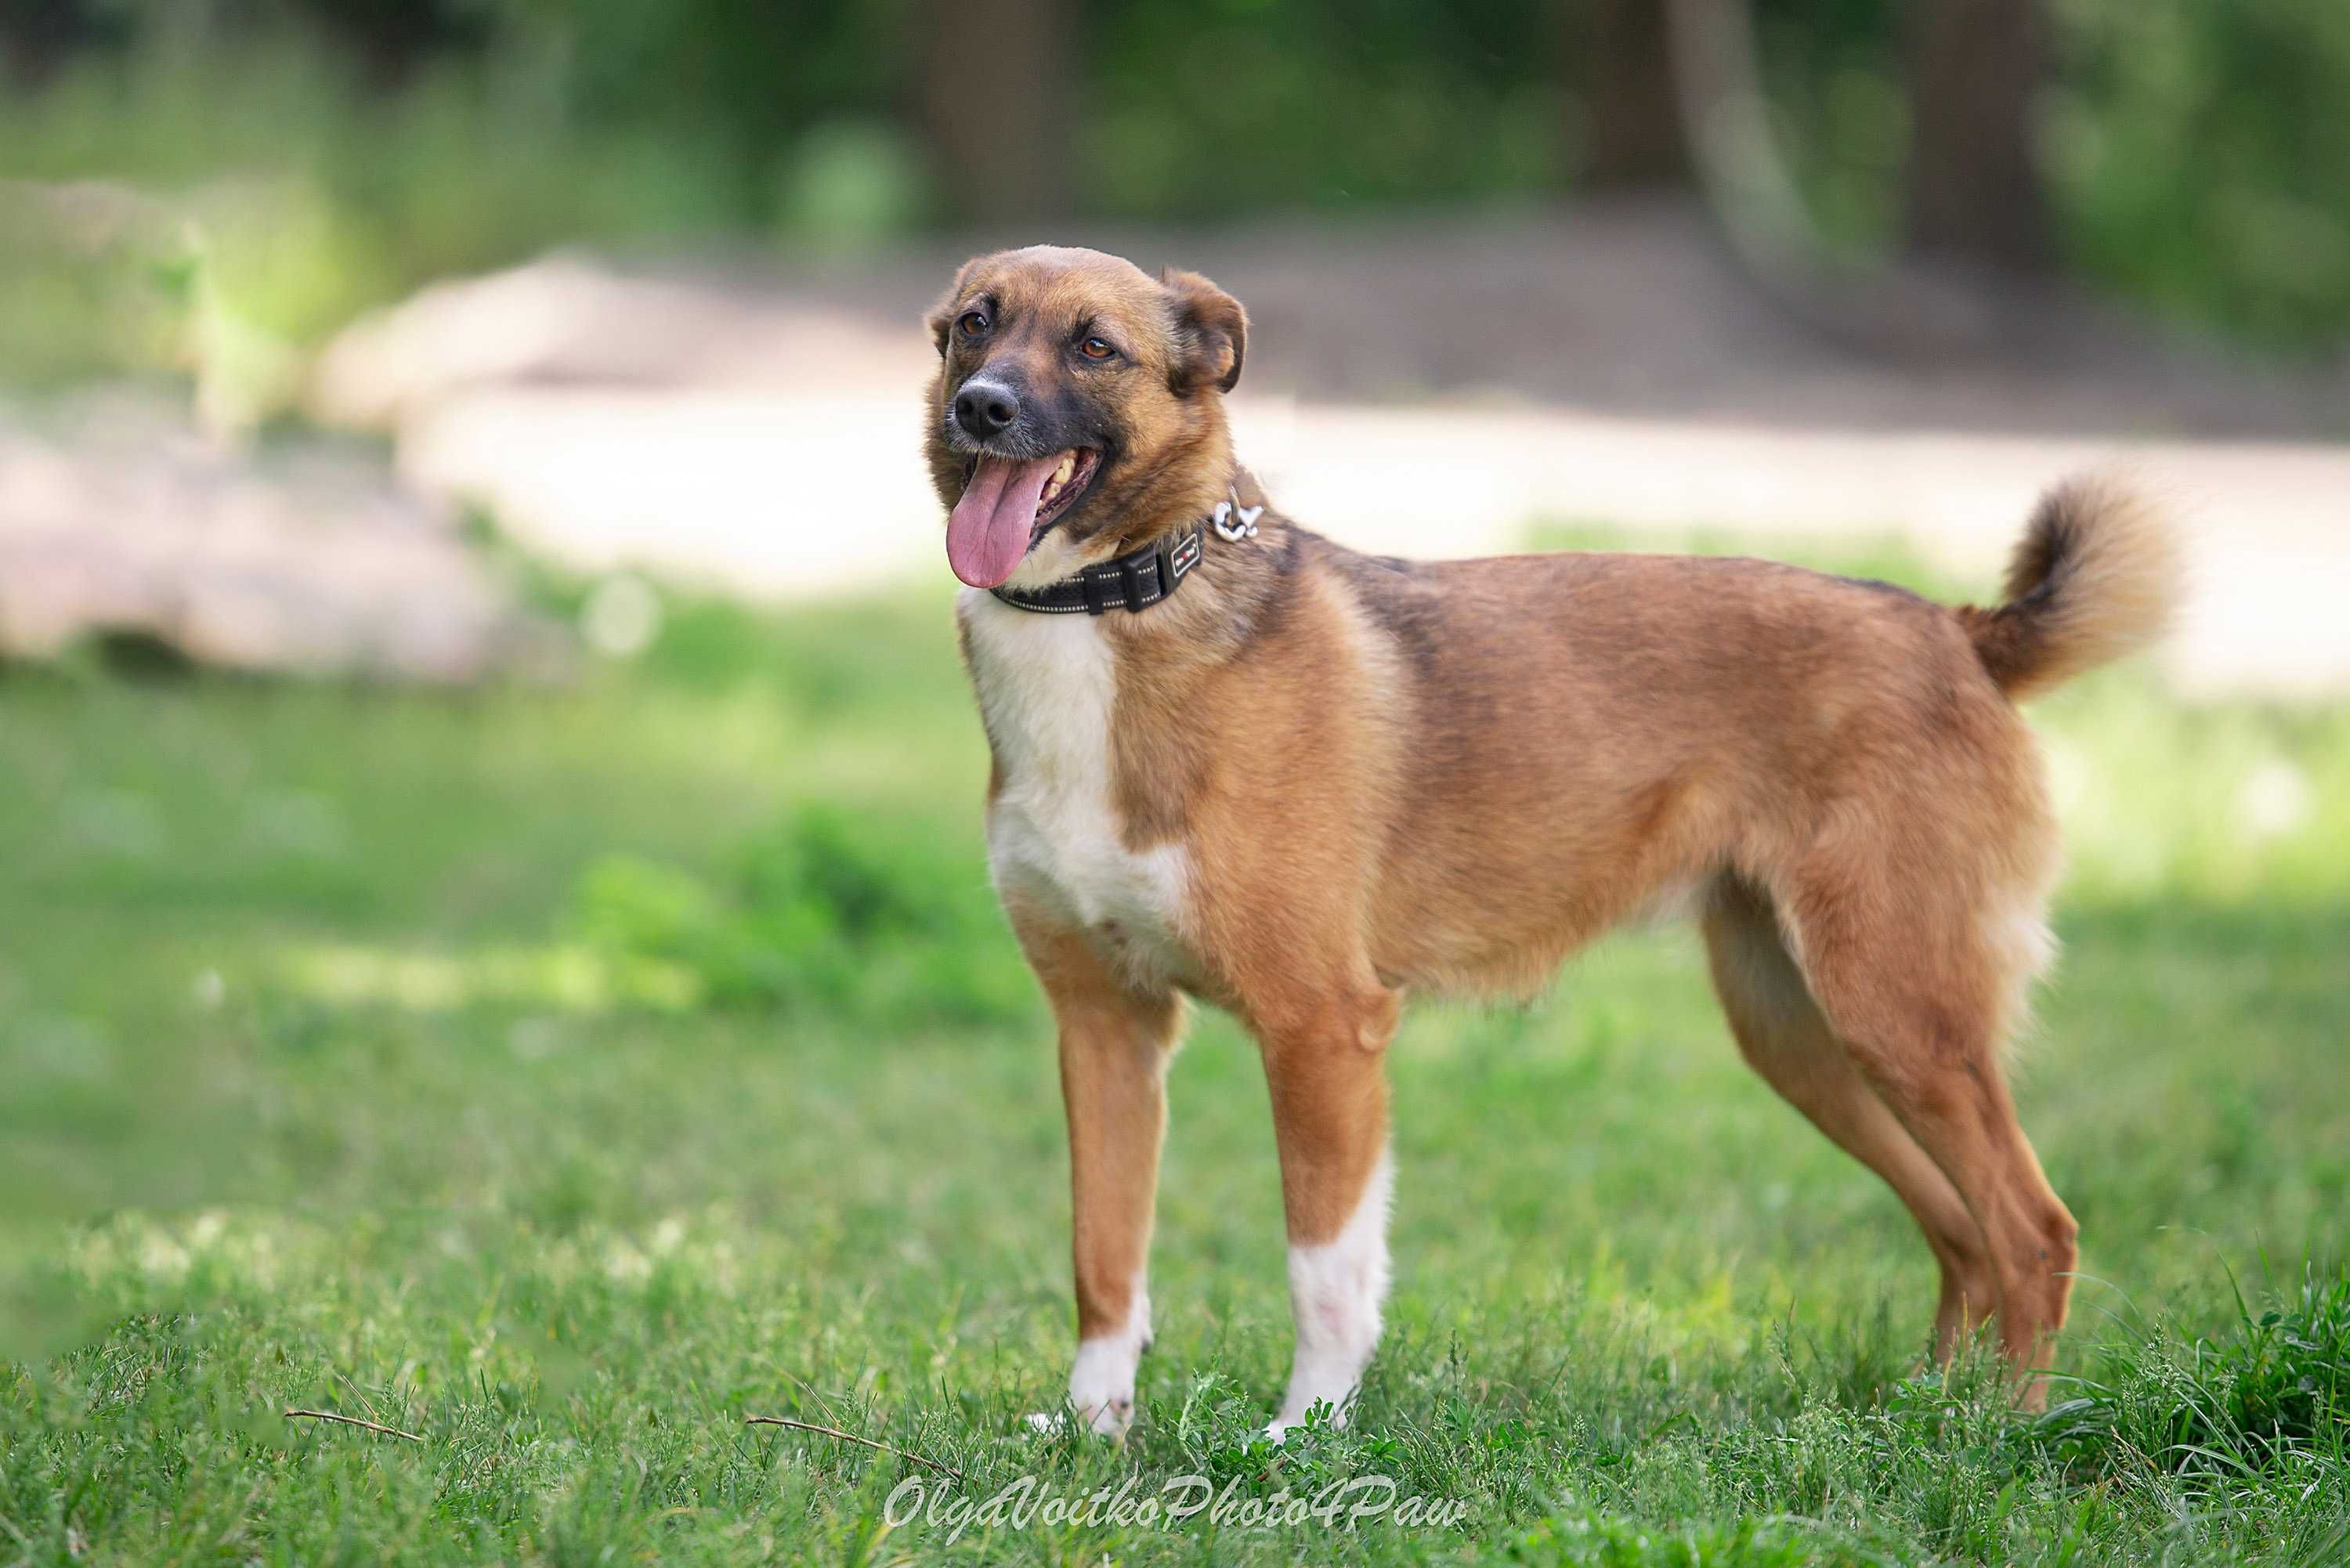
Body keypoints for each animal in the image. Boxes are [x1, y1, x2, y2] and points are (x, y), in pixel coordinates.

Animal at [916, 242, 2181, 1438]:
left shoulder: (1322, 1030)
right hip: (1808, 1035)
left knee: (2032, 1229)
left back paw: (2003, 1429)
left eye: (1095, 347)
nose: (980, 406)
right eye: (974, 323)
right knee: (1962, 1229)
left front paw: (1304, 1435)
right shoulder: (1106, 1028)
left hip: (1899, 1013)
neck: (1116, 605)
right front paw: (1095, 1427)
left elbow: (1325, 1274)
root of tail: (1961, 634)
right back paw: (1928, 1410)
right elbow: (1103, 1259)